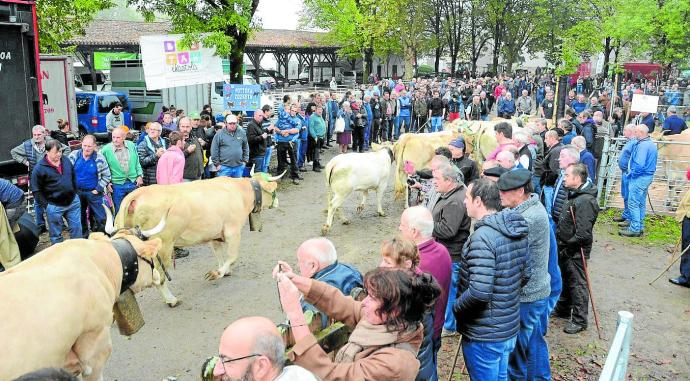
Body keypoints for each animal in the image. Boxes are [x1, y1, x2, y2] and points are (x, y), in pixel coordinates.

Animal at [107, 171, 282, 308]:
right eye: (274, 190)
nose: (277, 202)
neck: (240, 192)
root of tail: (137, 194)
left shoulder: (215, 234)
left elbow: (219, 254)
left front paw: (224, 271)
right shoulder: (233, 231)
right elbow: (232, 256)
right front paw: (217, 273)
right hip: (163, 247)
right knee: (159, 278)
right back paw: (171, 300)